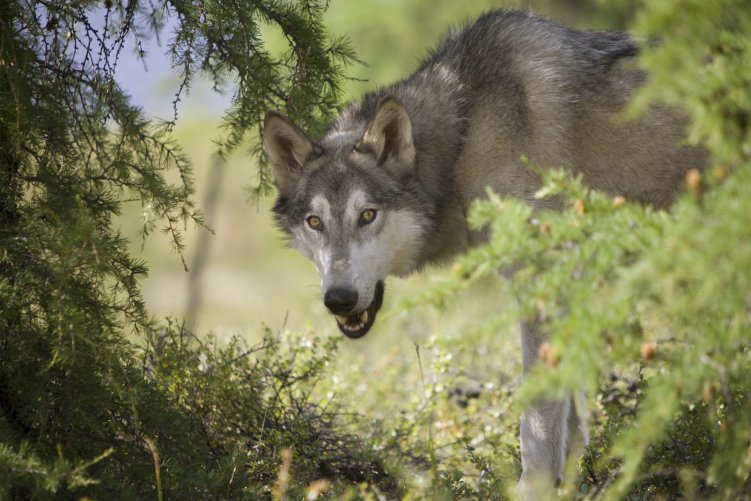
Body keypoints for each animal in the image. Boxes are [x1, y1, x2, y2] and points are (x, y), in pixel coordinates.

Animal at [262, 9, 704, 494]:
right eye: (315, 222)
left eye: (367, 215)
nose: (338, 299)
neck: (466, 134)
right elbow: (572, 420)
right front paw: (572, 483)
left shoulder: (539, 278)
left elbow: (538, 418)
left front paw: (533, 489)